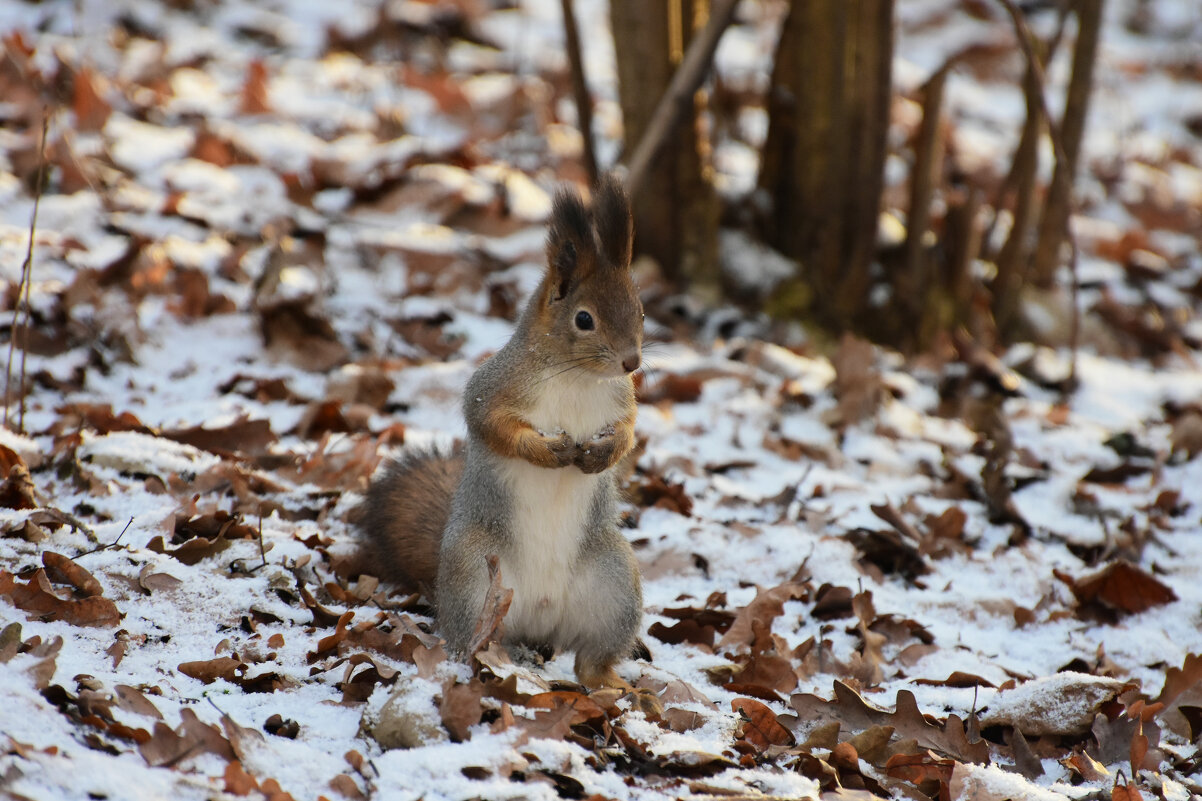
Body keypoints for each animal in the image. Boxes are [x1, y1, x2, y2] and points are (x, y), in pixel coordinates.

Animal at [358, 174, 649, 687]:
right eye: (584, 319)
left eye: (641, 311)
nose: (632, 361)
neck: (576, 376)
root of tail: (540, 615)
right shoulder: (493, 389)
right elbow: (492, 425)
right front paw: (544, 451)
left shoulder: (621, 399)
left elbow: (630, 429)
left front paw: (608, 450)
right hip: (474, 573)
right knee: (474, 641)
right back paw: (499, 661)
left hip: (615, 585)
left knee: (591, 660)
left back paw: (613, 685)